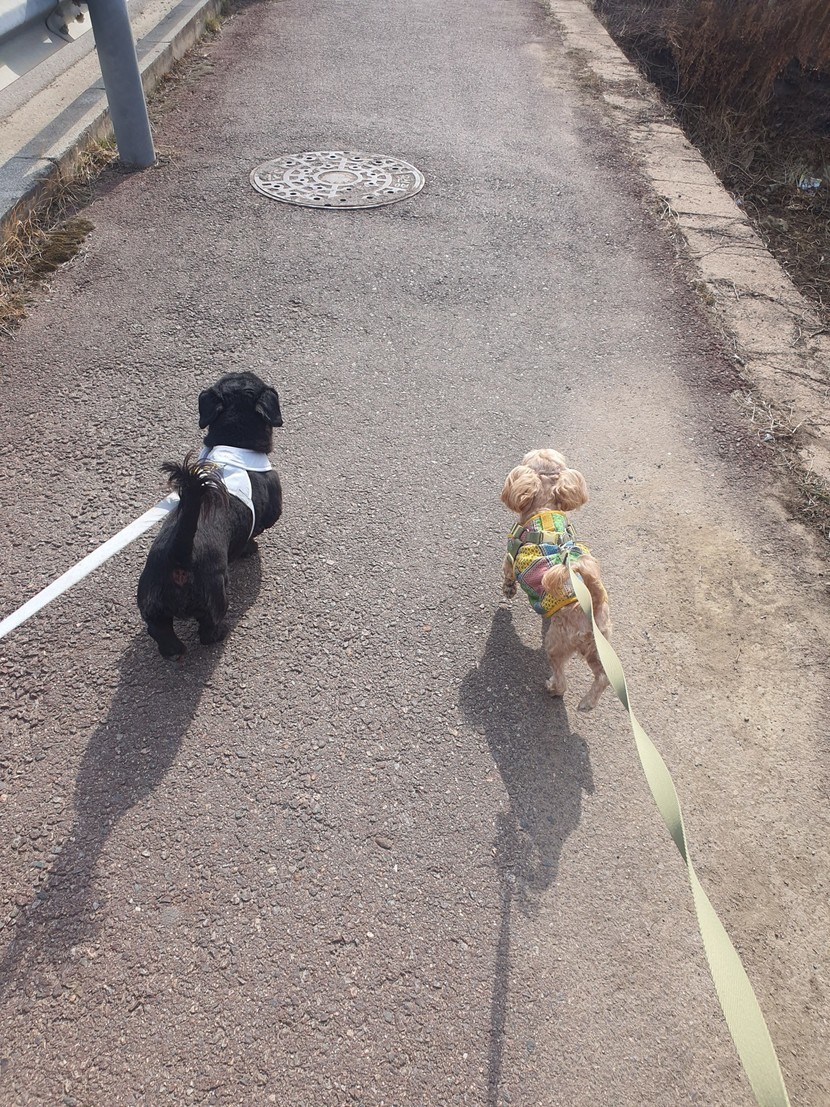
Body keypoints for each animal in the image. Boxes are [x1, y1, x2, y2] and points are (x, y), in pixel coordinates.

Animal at [137, 371, 283, 657]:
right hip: (216, 594)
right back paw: (220, 633)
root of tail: (178, 560)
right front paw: (250, 548)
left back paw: (173, 652)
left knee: (162, 633)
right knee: (207, 630)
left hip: (153, 607)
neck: (234, 443)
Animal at [500, 449, 611, 710]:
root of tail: (593, 601)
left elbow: (507, 574)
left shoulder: (510, 554)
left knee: (561, 677)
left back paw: (552, 688)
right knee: (602, 676)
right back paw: (587, 703)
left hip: (558, 642)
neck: (544, 508)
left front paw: (508, 591)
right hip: (597, 646)